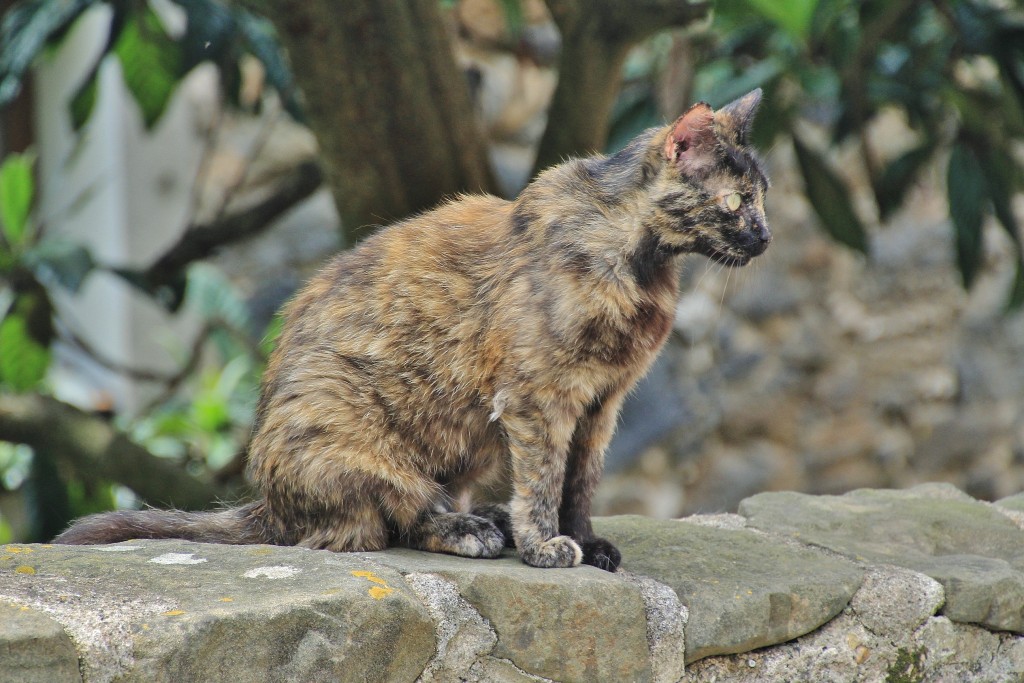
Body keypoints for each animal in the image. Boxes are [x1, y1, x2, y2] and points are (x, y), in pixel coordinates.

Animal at [56, 90, 770, 573]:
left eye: (763, 195)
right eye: (736, 202)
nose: (765, 237)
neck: (643, 265)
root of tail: (268, 505)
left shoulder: (602, 404)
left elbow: (580, 482)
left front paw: (586, 540)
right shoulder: (538, 401)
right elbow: (543, 480)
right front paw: (545, 545)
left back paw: (483, 516)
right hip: (359, 442)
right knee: (389, 522)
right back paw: (474, 530)